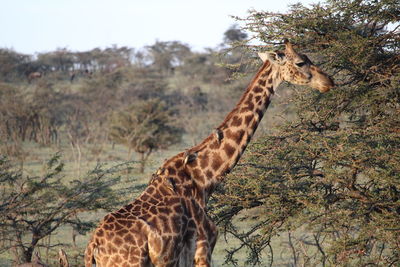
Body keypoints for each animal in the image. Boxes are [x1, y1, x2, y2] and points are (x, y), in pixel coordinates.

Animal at [84, 39, 334, 267]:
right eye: (300, 62)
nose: (328, 82)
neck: (204, 178)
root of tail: (93, 247)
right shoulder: (203, 247)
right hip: (130, 263)